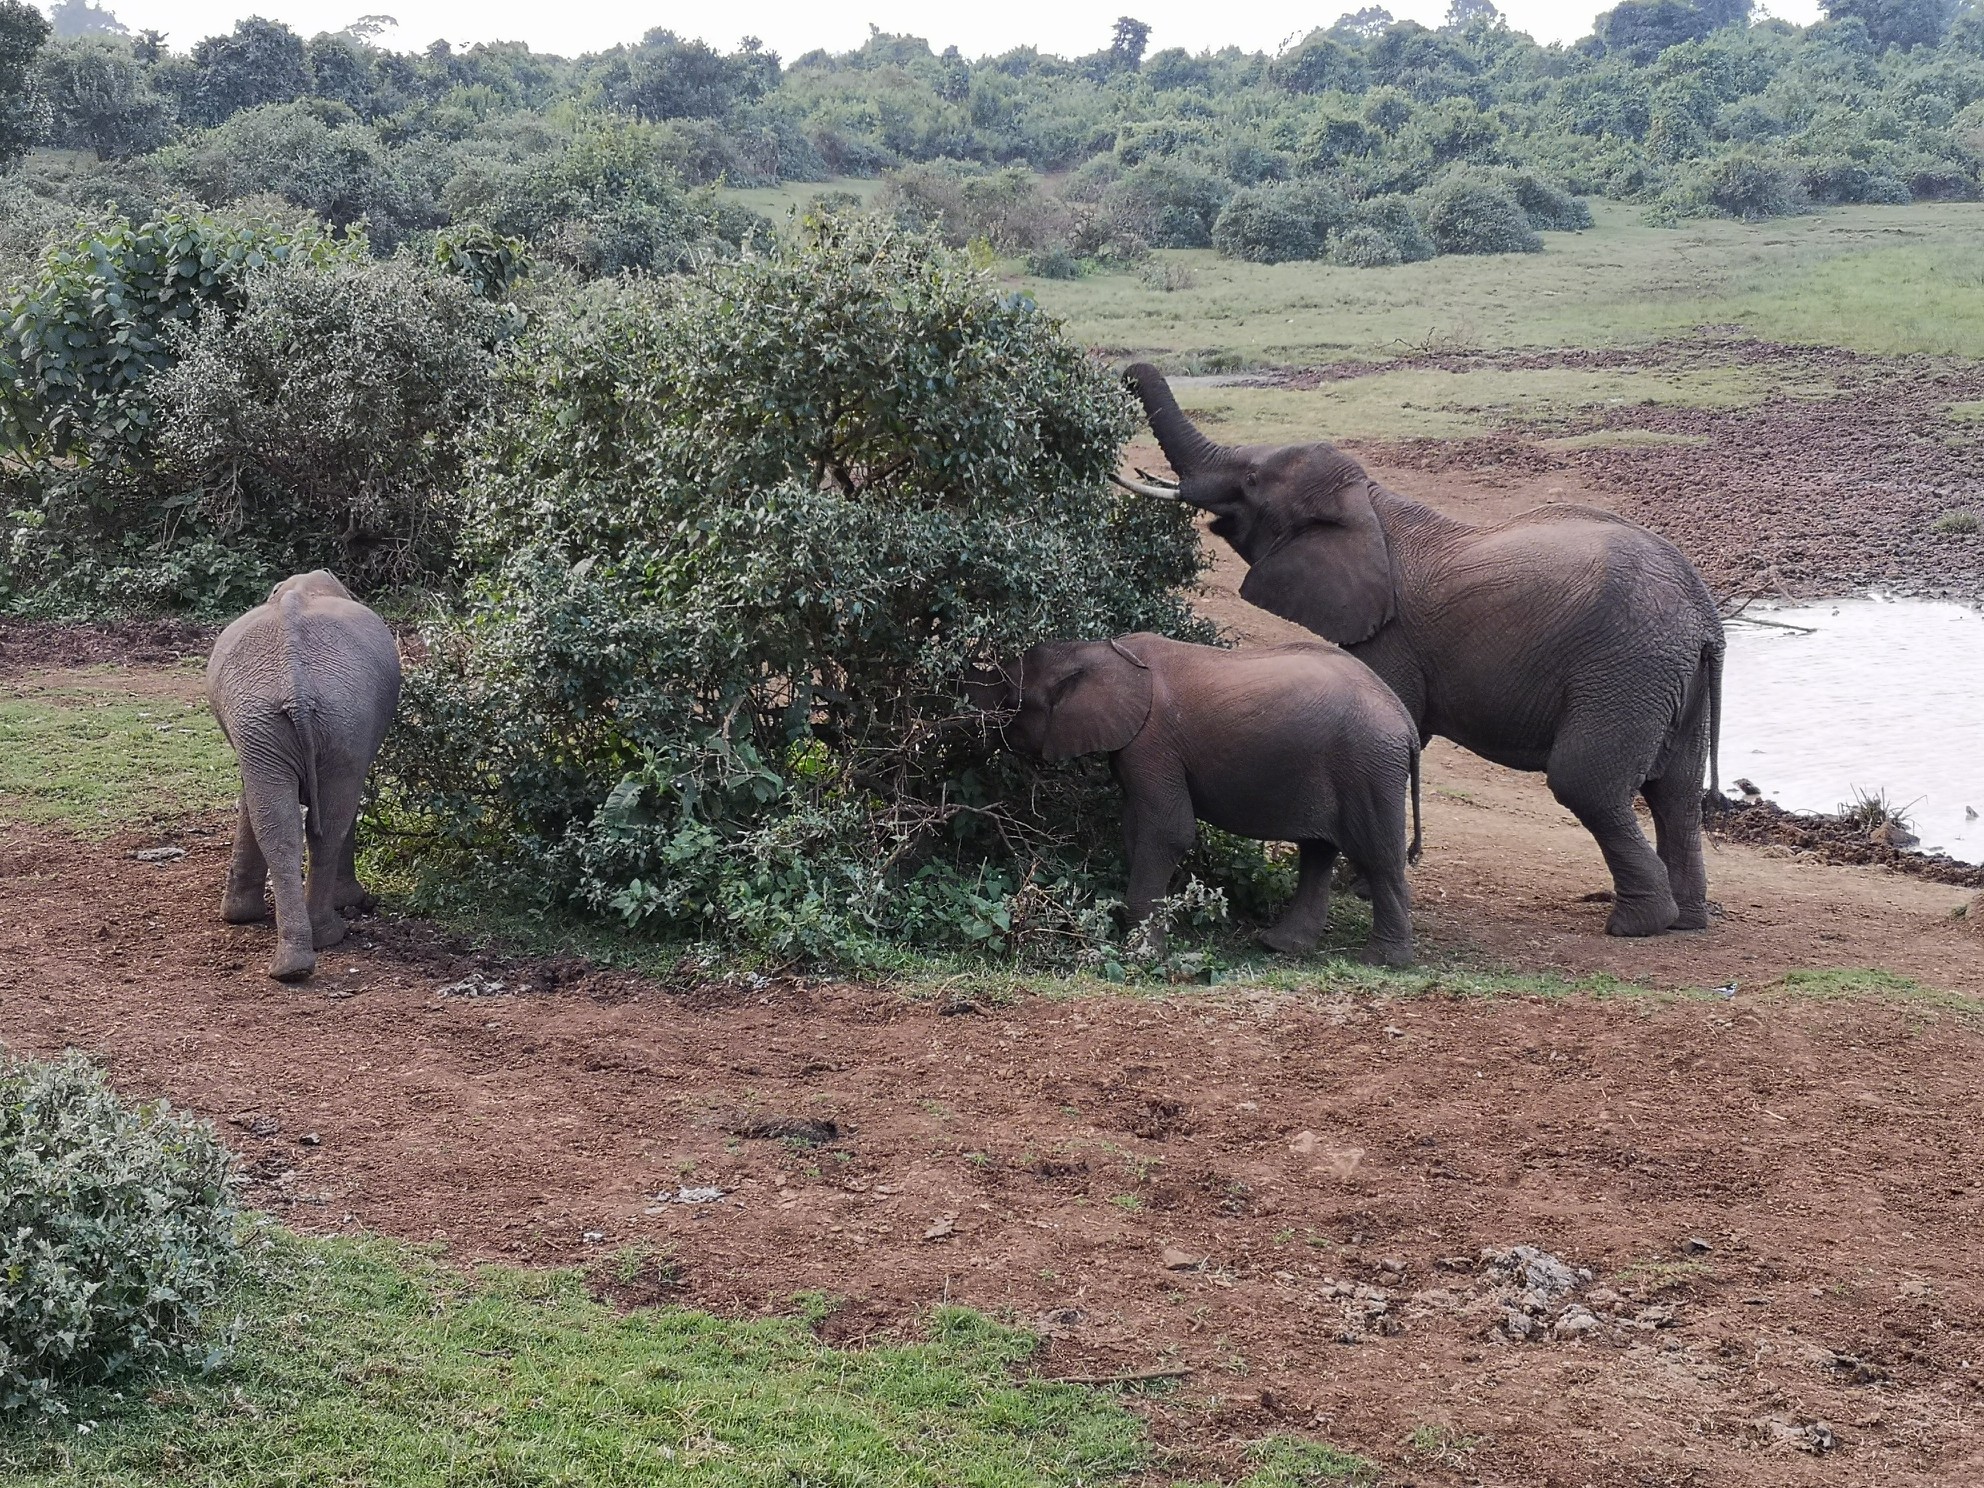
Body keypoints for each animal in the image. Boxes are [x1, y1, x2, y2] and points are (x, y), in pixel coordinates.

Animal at [207, 567, 400, 980]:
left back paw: (301, 955)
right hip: (312, 720)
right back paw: (308, 950)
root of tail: (296, 684)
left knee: (298, 827)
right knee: (314, 825)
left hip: (323, 720)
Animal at [1126, 365, 1730, 936]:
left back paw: (1637, 924)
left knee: (1586, 783)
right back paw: (1686, 920)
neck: (1370, 503)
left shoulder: (1391, 634)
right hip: (1672, 678)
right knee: (1675, 794)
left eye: (1252, 479)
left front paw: (1355, 888)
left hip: (1628, 671)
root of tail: (1705, 613)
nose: (1126, 371)